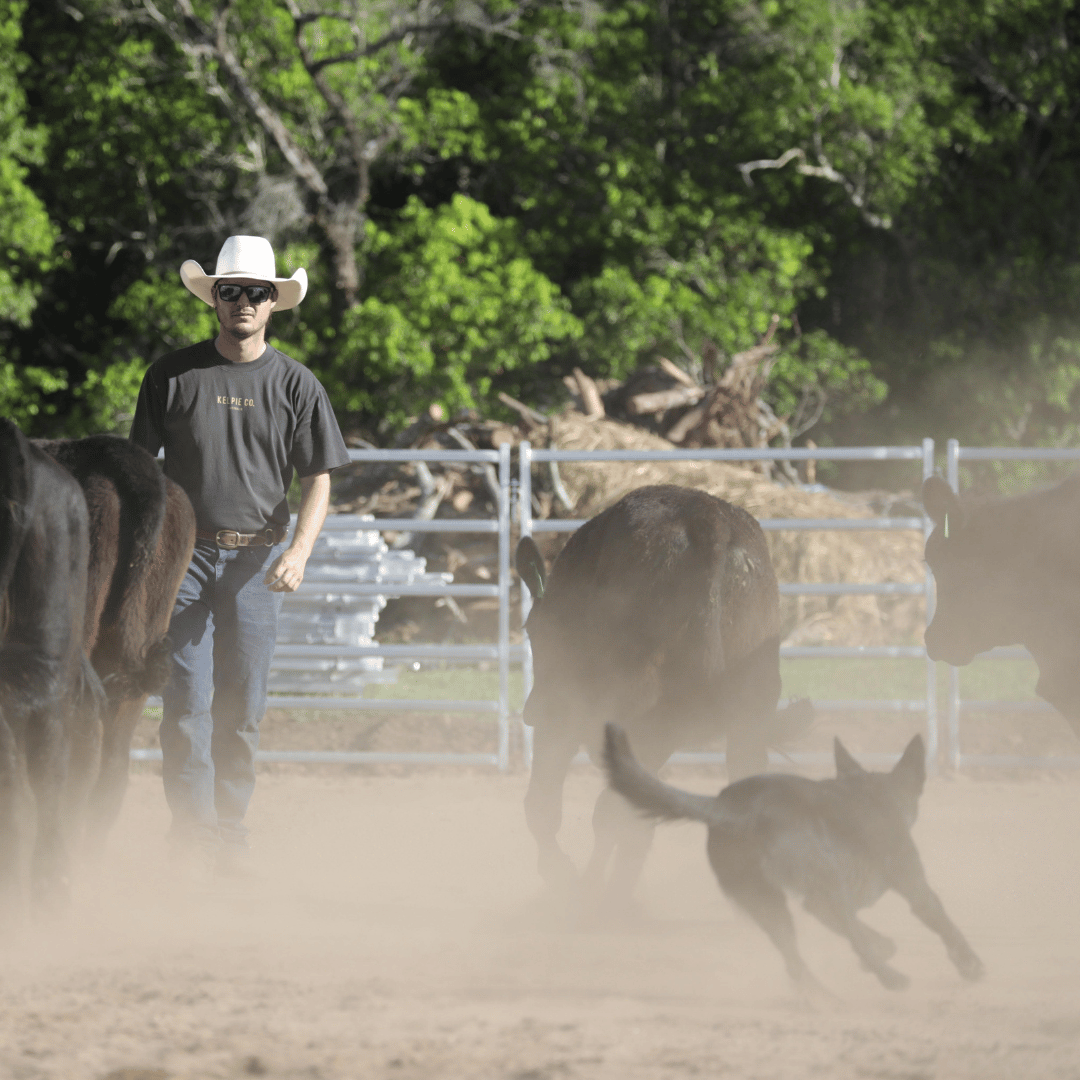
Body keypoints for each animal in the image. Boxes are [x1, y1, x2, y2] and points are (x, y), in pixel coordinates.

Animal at [514, 486, 812, 898]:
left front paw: (563, 875)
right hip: (745, 713)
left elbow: (543, 805)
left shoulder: (565, 712)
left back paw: (595, 894)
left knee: (612, 812)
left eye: (533, 630)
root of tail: (708, 521)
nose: (531, 711)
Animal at [604, 721, 984, 989]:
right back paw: (890, 978)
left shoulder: (822, 904)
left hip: (765, 900)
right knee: (849, 938)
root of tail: (732, 806)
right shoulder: (912, 882)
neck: (872, 795)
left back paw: (824, 995)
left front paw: (882, 947)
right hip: (822, 881)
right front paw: (970, 964)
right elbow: (942, 922)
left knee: (795, 961)